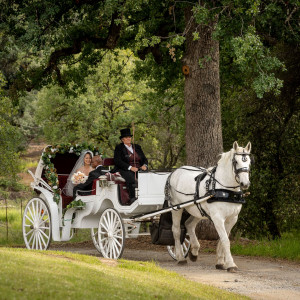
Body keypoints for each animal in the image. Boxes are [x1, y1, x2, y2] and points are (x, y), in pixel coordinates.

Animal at [168, 141, 252, 272]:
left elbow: (222, 240)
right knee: (176, 230)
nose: (245, 183)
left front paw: (220, 262)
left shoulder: (232, 218)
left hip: (197, 210)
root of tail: (174, 172)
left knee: (189, 224)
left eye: (249, 161)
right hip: (176, 208)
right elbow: (225, 240)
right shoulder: (218, 218)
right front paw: (231, 264)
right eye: (236, 162)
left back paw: (194, 251)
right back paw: (180, 257)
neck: (225, 189)